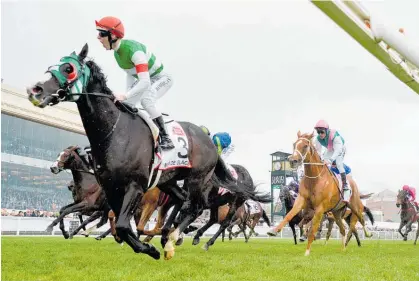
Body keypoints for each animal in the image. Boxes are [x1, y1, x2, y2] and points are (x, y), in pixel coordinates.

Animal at [27, 43, 270, 258]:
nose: (35, 90)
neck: (115, 132)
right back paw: (170, 235)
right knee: (184, 202)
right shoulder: (112, 189)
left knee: (201, 210)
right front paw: (143, 243)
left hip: (202, 182)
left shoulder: (135, 186)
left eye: (69, 69)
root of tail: (208, 141)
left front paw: (149, 248)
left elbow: (123, 224)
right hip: (168, 180)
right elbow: (119, 223)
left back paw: (180, 239)